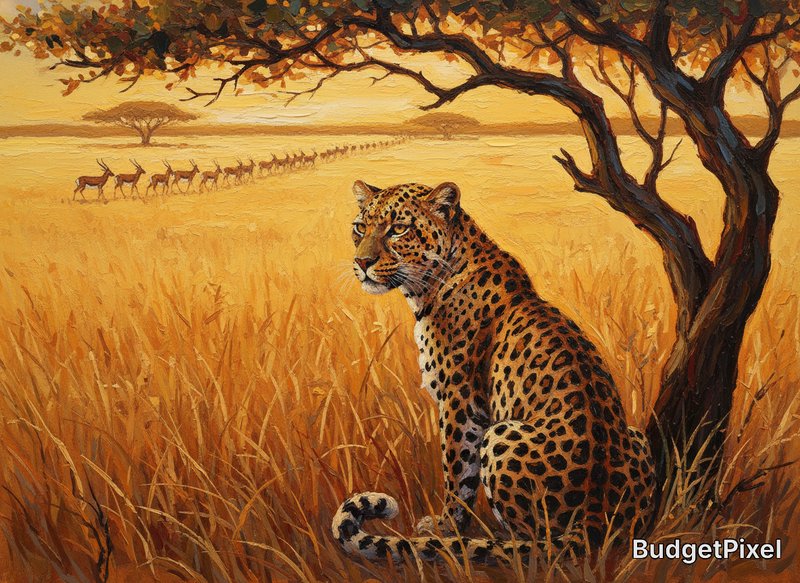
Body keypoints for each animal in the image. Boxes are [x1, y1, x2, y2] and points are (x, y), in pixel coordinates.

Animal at [331, 180, 655, 564]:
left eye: (398, 229)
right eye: (360, 227)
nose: (362, 262)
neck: (429, 285)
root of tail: (596, 517)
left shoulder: (460, 402)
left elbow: (457, 472)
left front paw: (446, 528)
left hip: (502, 433)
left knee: (533, 542)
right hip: (636, 435)